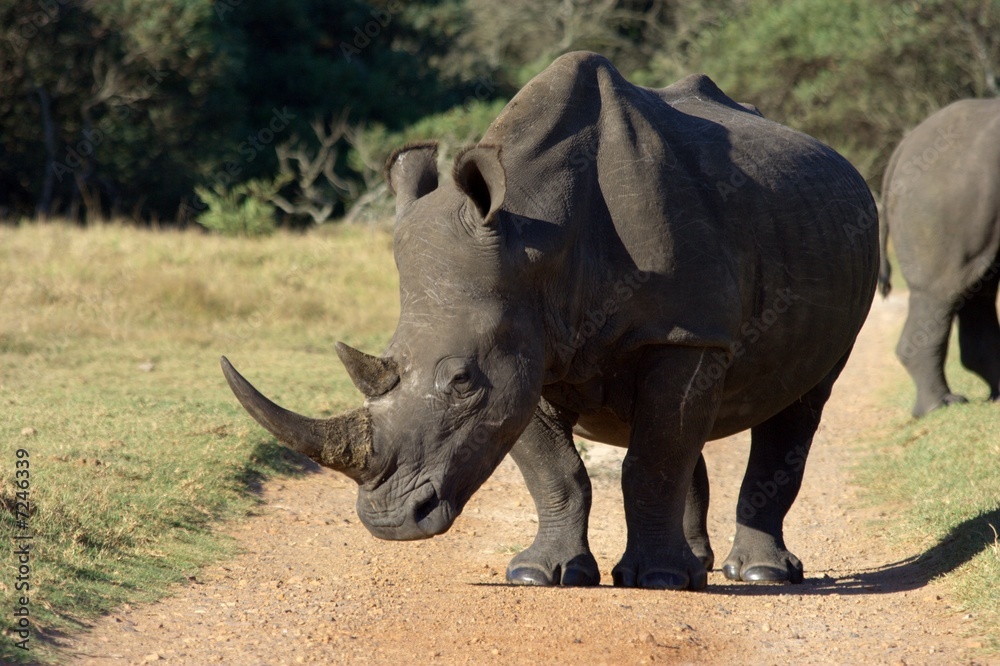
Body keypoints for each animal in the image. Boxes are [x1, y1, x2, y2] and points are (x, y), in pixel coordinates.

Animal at [222, 52, 878, 590]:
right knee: (689, 424)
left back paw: (759, 575)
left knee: (800, 401)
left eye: (461, 381)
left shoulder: (680, 331)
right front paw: (542, 575)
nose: (390, 521)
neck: (540, 238)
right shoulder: (528, 340)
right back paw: (700, 566)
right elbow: (558, 468)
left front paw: (658, 582)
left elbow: (652, 460)